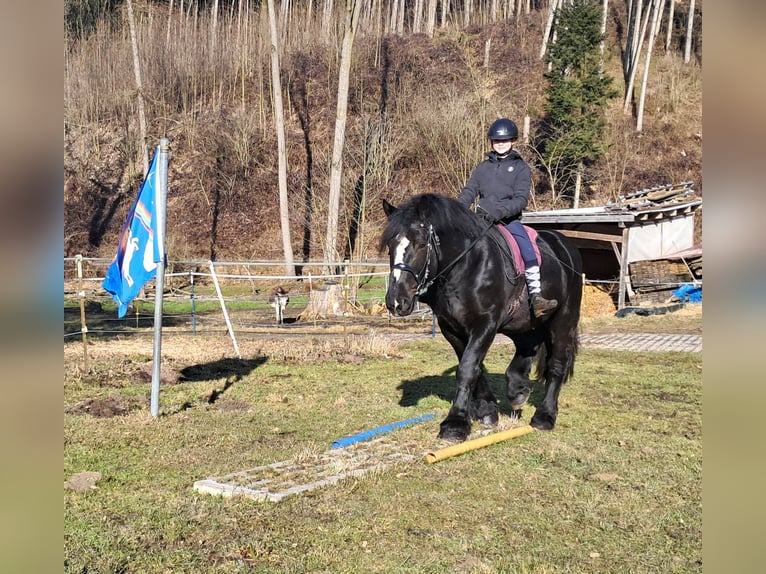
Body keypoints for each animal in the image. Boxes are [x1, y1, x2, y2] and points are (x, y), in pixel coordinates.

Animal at [380, 196, 584, 444]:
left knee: (556, 365)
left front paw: (455, 424)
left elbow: (468, 368)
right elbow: (473, 367)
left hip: (564, 320)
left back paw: (544, 416)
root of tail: (565, 245)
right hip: (525, 324)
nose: (396, 301)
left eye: (420, 244)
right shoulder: (451, 328)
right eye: (391, 245)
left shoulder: (485, 324)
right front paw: (487, 409)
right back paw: (518, 389)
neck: (466, 267)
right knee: (527, 348)